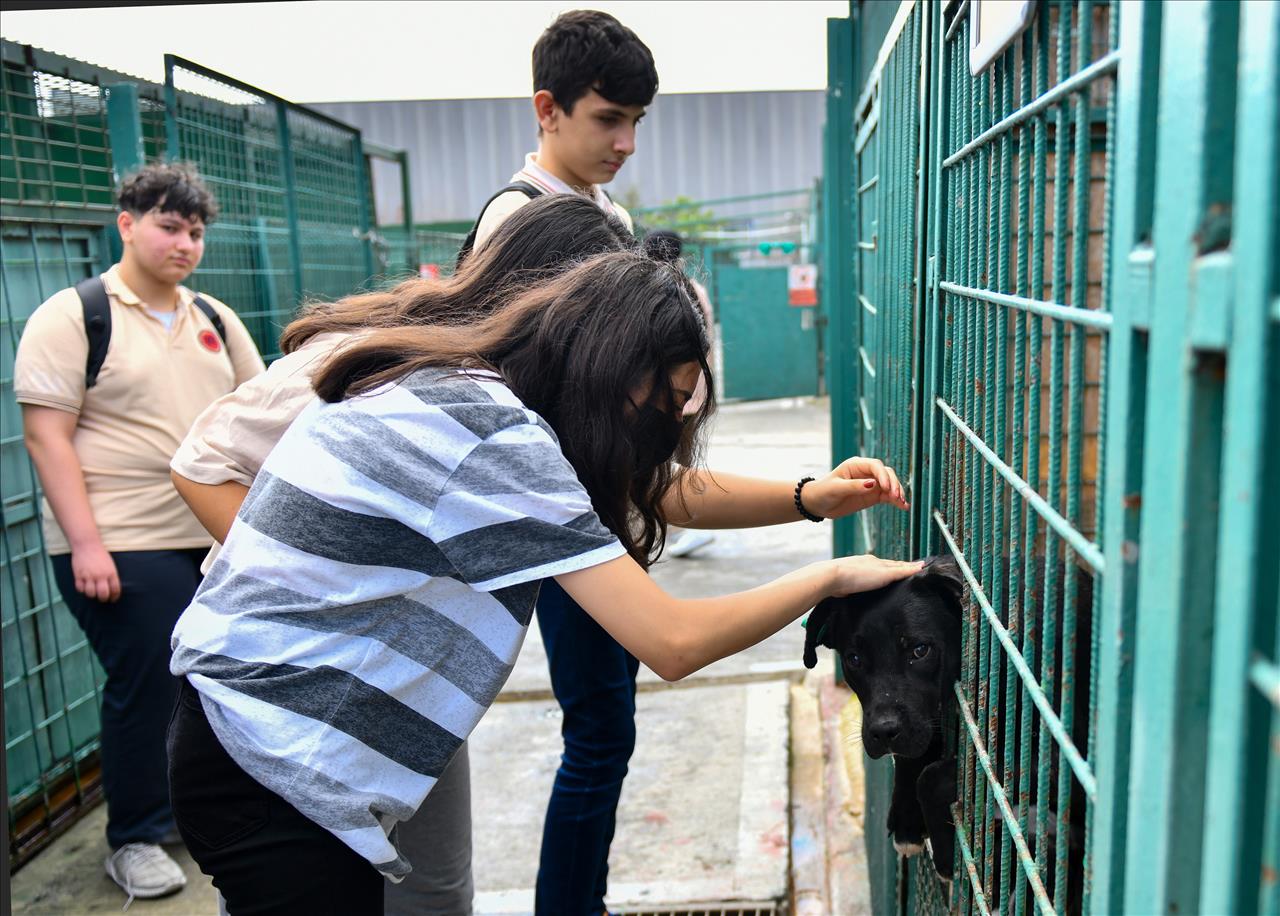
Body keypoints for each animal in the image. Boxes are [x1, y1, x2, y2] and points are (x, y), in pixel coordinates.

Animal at [798, 555, 962, 885]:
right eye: (854, 659)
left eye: (920, 650)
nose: (884, 732)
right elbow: (913, 759)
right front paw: (906, 822)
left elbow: (930, 777)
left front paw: (947, 856)